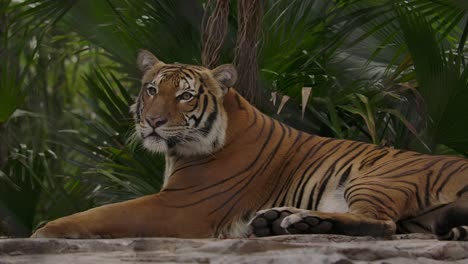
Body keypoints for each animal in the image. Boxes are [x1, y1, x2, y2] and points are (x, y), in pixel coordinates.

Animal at [33, 48, 468, 240]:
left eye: (185, 96)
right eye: (152, 89)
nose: (153, 122)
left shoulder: (179, 207)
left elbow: (98, 215)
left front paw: (43, 231)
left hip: (377, 178)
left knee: (383, 223)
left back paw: (296, 222)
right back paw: (282, 221)